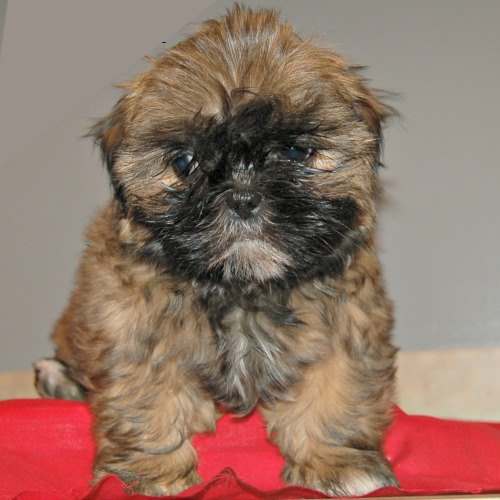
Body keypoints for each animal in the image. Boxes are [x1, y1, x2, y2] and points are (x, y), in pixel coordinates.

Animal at [34, 4, 398, 496]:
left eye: (296, 150)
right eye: (185, 161)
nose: (243, 196)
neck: (240, 287)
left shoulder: (349, 319)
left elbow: (337, 388)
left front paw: (338, 463)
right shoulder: (130, 322)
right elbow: (146, 395)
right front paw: (151, 472)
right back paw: (59, 379)